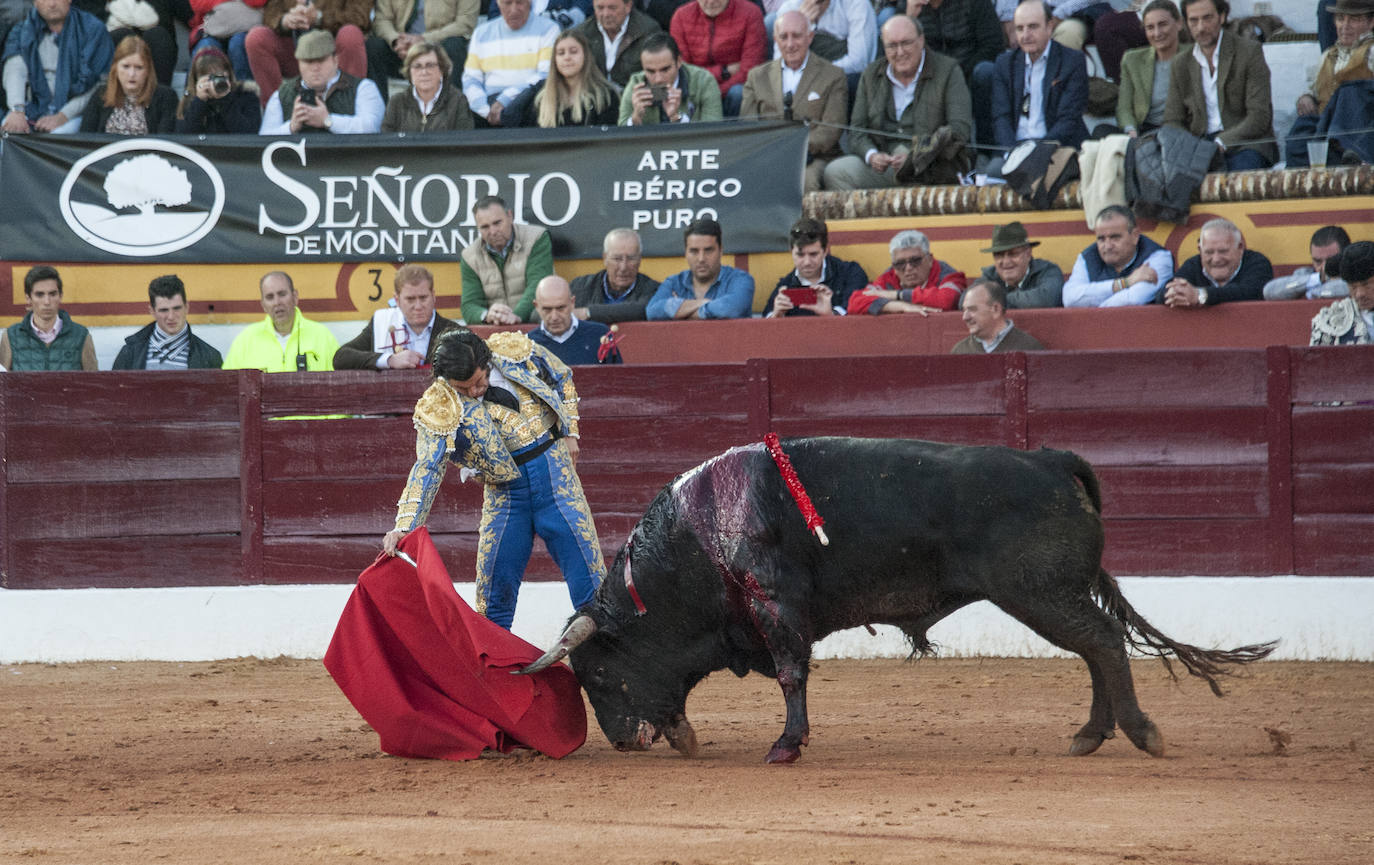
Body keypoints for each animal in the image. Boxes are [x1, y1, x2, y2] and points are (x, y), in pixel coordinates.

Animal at [516, 439, 1275, 763]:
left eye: (597, 674)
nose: (622, 741)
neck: (698, 537)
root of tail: (1052, 460)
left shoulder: (777, 606)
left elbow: (791, 674)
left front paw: (786, 745)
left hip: (1038, 591)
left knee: (1103, 643)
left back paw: (1140, 733)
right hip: (1050, 594)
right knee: (1095, 648)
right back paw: (1091, 734)